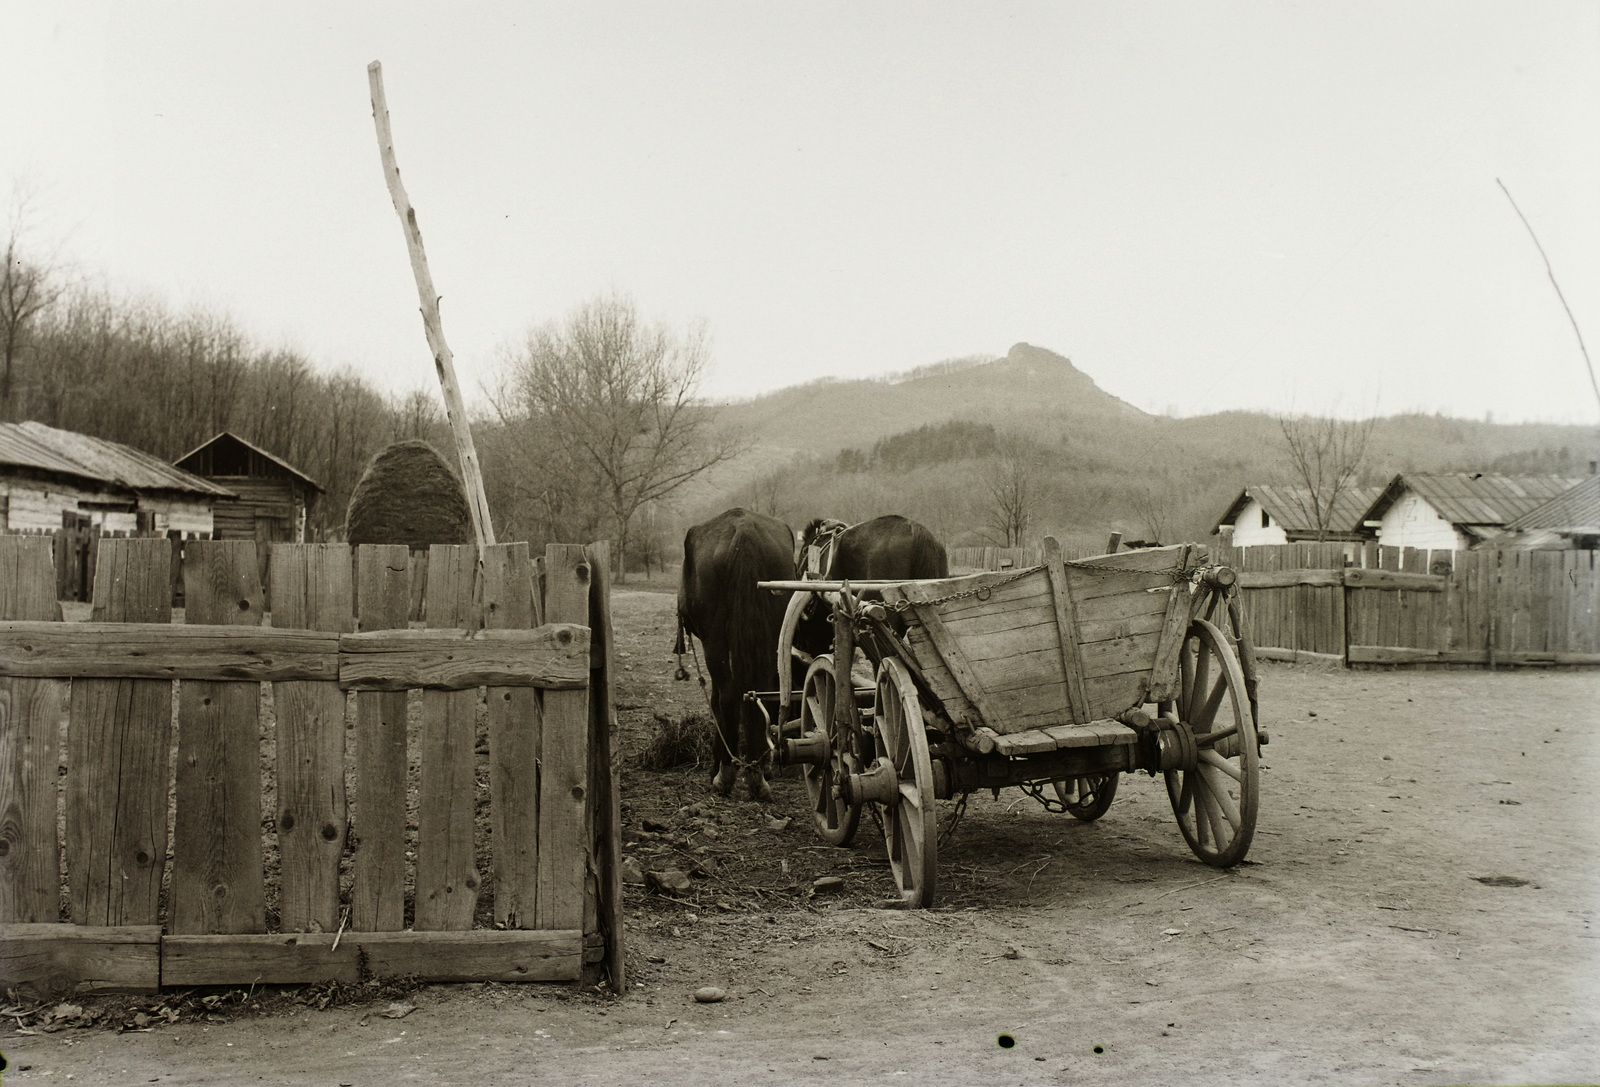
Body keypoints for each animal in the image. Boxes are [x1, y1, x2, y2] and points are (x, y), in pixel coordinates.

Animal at [675, 509, 800, 800]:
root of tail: (744, 530)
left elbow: (716, 700)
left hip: (715, 641)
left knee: (728, 696)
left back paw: (726, 774)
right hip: (771, 635)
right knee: (763, 691)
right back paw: (756, 774)